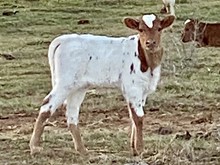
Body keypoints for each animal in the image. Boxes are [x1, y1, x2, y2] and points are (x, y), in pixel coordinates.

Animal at [29, 13, 174, 156]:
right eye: (141, 29)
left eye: (159, 29)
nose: (150, 43)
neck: (147, 61)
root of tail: (61, 40)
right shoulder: (133, 88)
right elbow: (138, 117)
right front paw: (140, 149)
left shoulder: (142, 90)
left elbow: (133, 116)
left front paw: (134, 148)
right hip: (65, 82)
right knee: (47, 106)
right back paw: (34, 146)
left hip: (78, 87)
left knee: (72, 113)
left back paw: (82, 149)